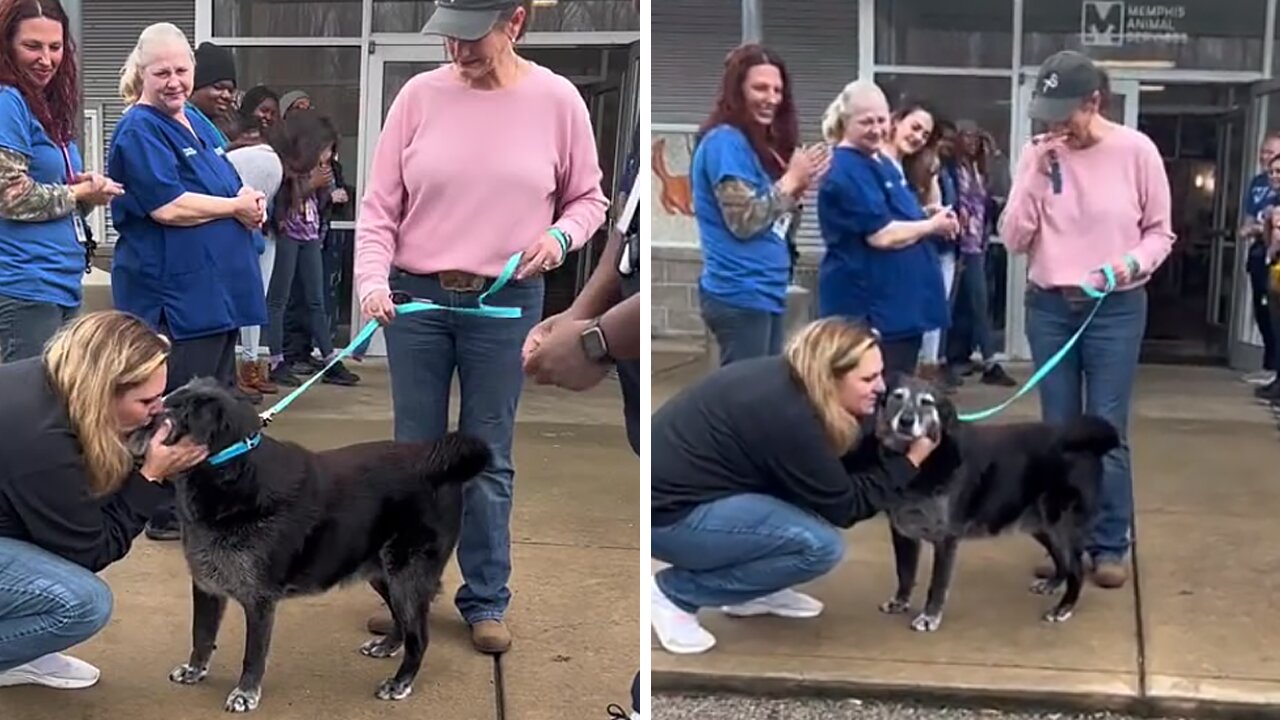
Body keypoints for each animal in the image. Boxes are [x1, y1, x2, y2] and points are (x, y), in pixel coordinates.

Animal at [128, 379, 488, 707]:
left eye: (162, 415)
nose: (132, 424)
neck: (231, 473)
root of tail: (435, 464)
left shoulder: (259, 600)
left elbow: (253, 655)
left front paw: (246, 693)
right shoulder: (207, 586)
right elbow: (201, 634)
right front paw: (195, 670)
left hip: (406, 576)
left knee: (419, 637)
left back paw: (400, 682)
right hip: (382, 573)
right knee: (402, 622)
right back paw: (387, 645)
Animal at [870, 371, 1121, 630]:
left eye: (927, 402)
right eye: (898, 396)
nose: (906, 421)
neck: (922, 460)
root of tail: (1084, 442)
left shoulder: (946, 539)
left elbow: (937, 585)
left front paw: (930, 617)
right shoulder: (903, 532)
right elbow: (904, 572)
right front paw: (900, 602)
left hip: (1061, 525)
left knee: (1076, 570)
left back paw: (1063, 608)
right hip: (1041, 525)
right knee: (1063, 562)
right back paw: (1052, 584)